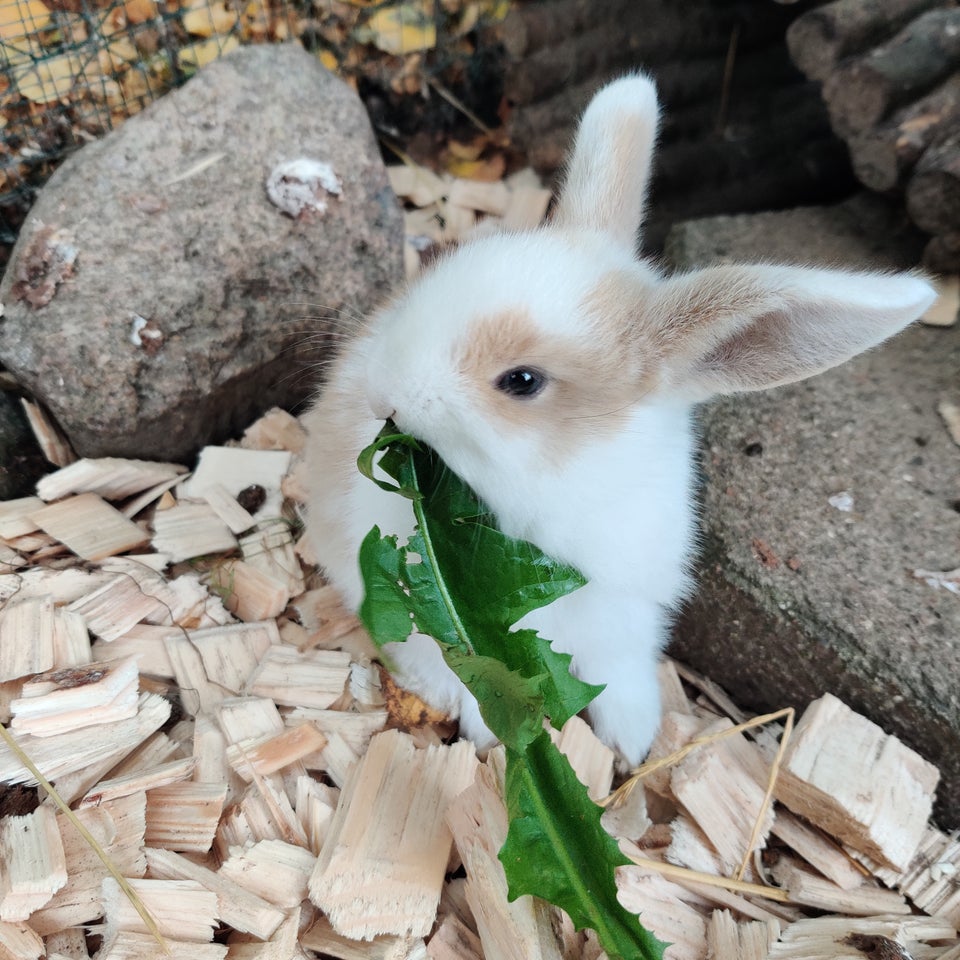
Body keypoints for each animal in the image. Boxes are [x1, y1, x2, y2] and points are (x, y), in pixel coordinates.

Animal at [302, 73, 936, 764]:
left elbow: (621, 676)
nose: (381, 393)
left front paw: (633, 744)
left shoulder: (629, 611)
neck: (565, 475)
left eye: (521, 381)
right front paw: (489, 732)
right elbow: (459, 670)